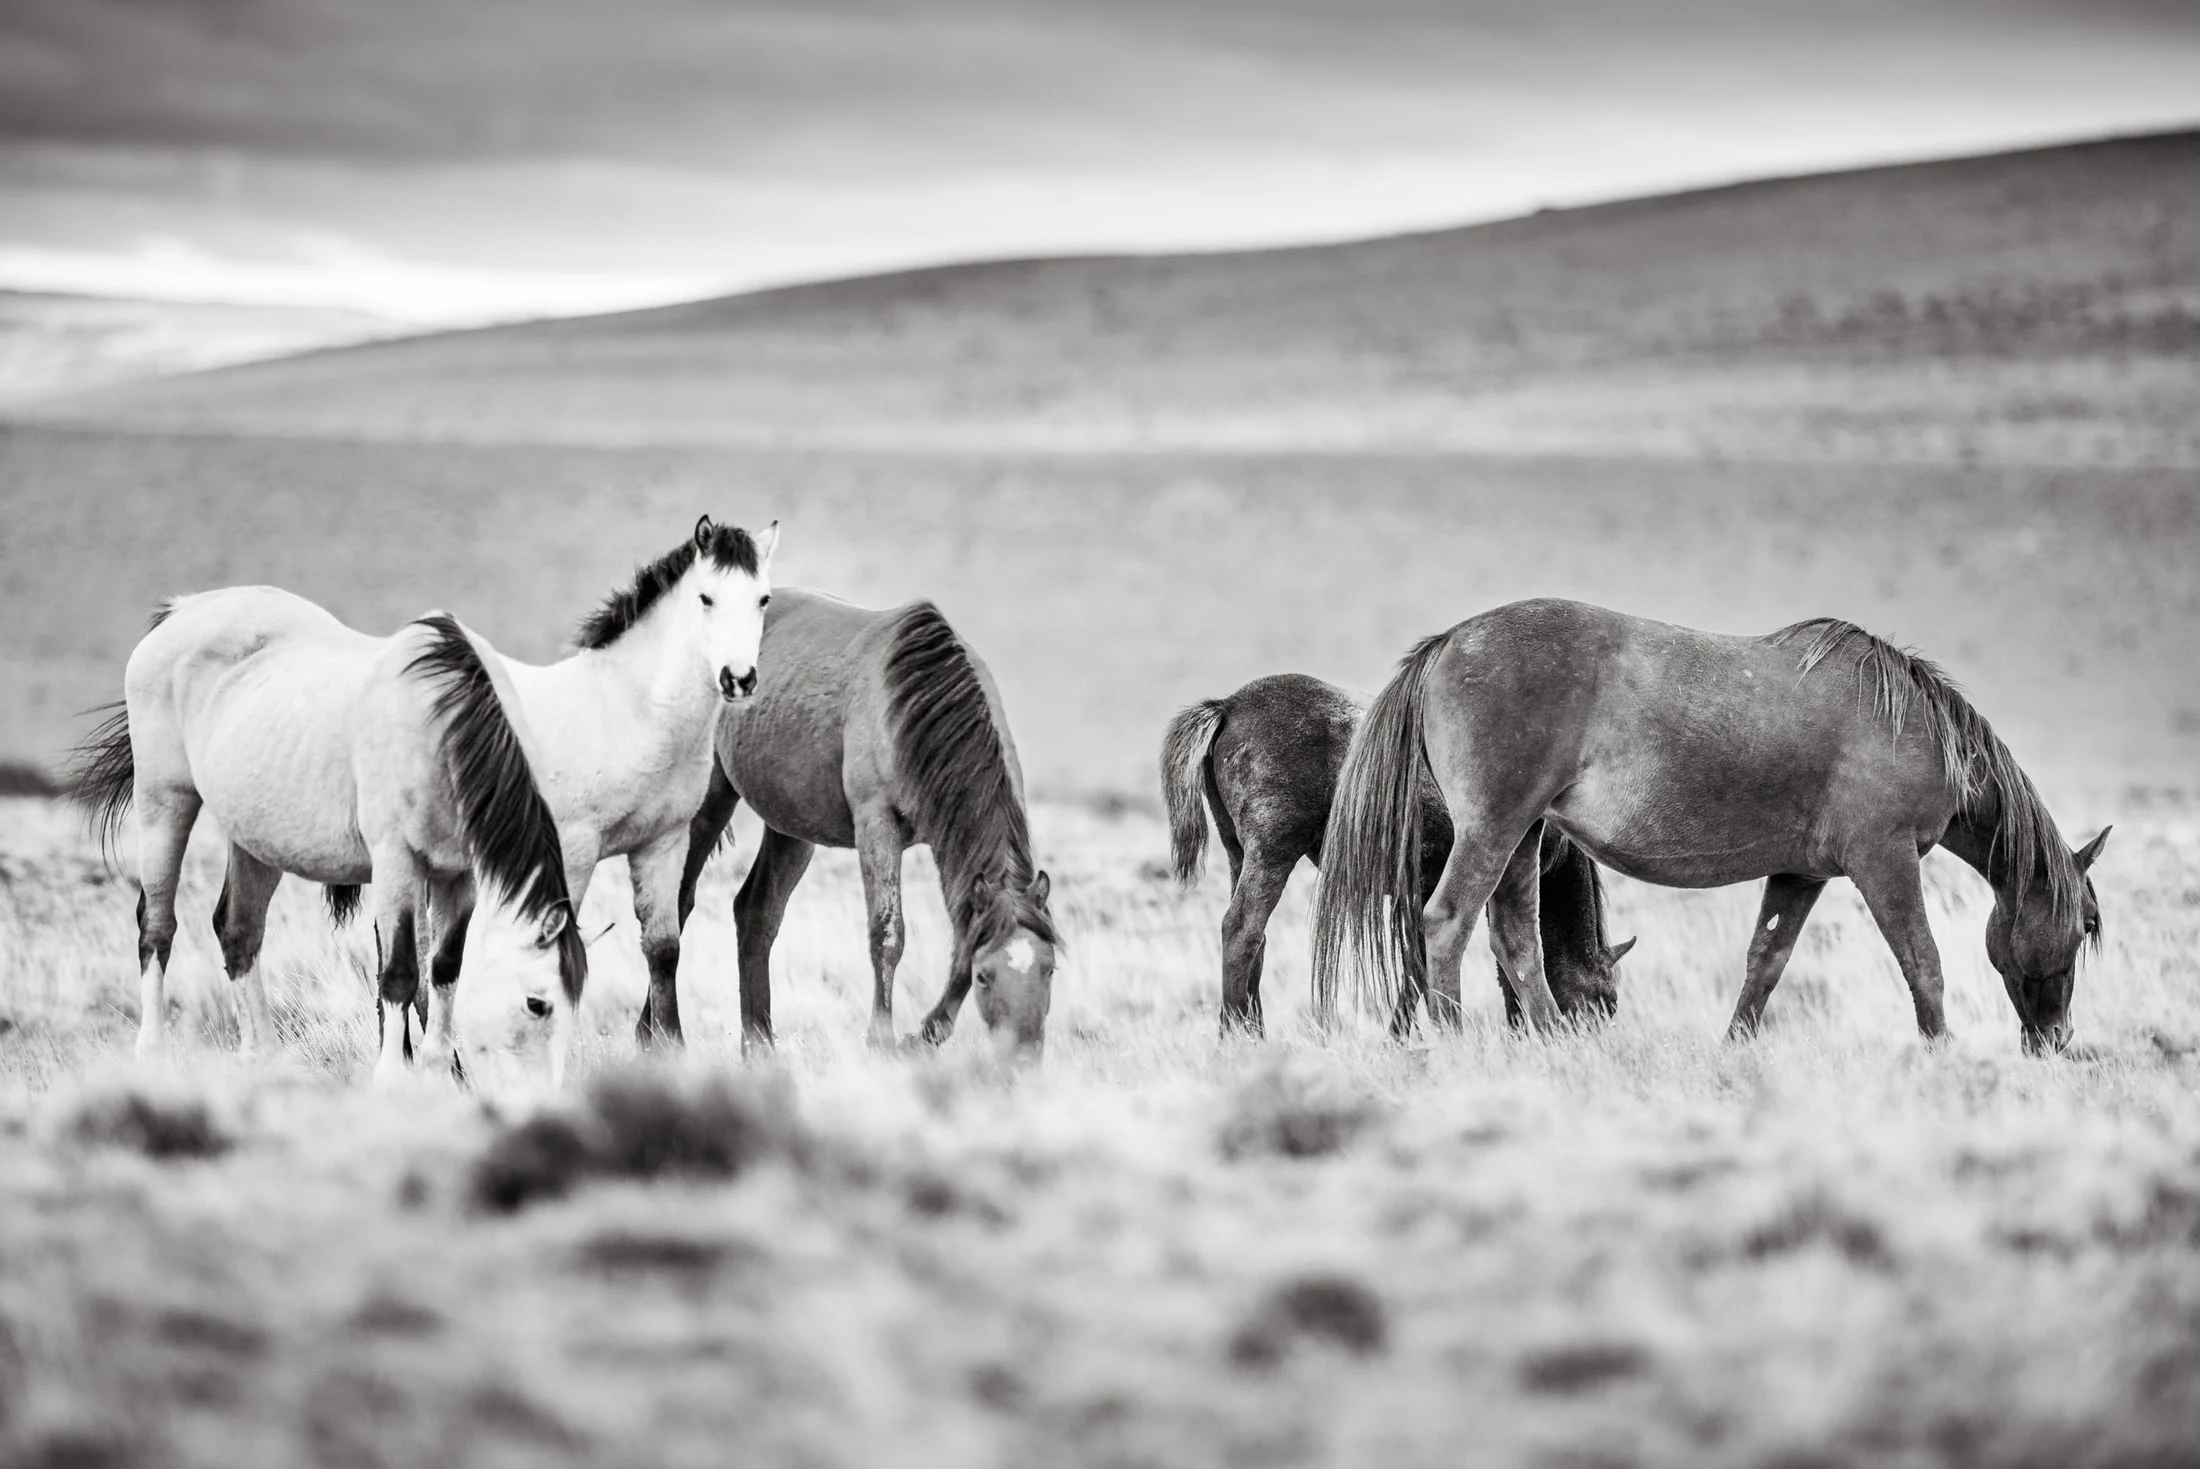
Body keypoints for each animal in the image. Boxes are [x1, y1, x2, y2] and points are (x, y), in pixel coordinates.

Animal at [69, 595, 586, 1093]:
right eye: (537, 1003)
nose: (544, 1096)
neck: (439, 727)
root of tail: (184, 609)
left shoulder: (457, 875)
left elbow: (444, 968)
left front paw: (439, 1072)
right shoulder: (397, 865)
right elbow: (401, 972)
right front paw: (392, 1079)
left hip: (255, 838)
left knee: (238, 931)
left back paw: (263, 1059)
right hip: (163, 804)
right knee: (157, 928)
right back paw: (152, 1053)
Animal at [674, 590, 1058, 1064]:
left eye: (1049, 969)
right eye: (985, 976)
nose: (1022, 1056)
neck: (917, 704)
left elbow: (960, 941)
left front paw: (925, 1035)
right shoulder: (876, 824)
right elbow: (887, 932)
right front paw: (881, 1040)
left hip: (791, 828)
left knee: (755, 913)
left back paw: (759, 1045)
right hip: (709, 802)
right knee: (675, 905)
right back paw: (658, 1035)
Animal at [1160, 672, 1632, 1036]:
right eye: (1605, 1002)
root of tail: (1228, 707)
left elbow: (1425, 964)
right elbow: (1465, 966)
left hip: (1239, 855)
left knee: (1254, 944)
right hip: (1271, 856)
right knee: (1241, 932)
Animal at [1311, 599, 2109, 1054]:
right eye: (2085, 927)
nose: (2056, 1040)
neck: (1910, 725)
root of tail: (1450, 642)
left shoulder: (1802, 873)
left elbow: (1765, 963)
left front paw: (1734, 1050)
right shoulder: (1885, 861)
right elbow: (1923, 963)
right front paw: (1942, 1054)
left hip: (1524, 835)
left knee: (1514, 939)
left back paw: (1551, 1043)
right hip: (1494, 830)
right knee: (1447, 922)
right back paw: (1454, 1041)